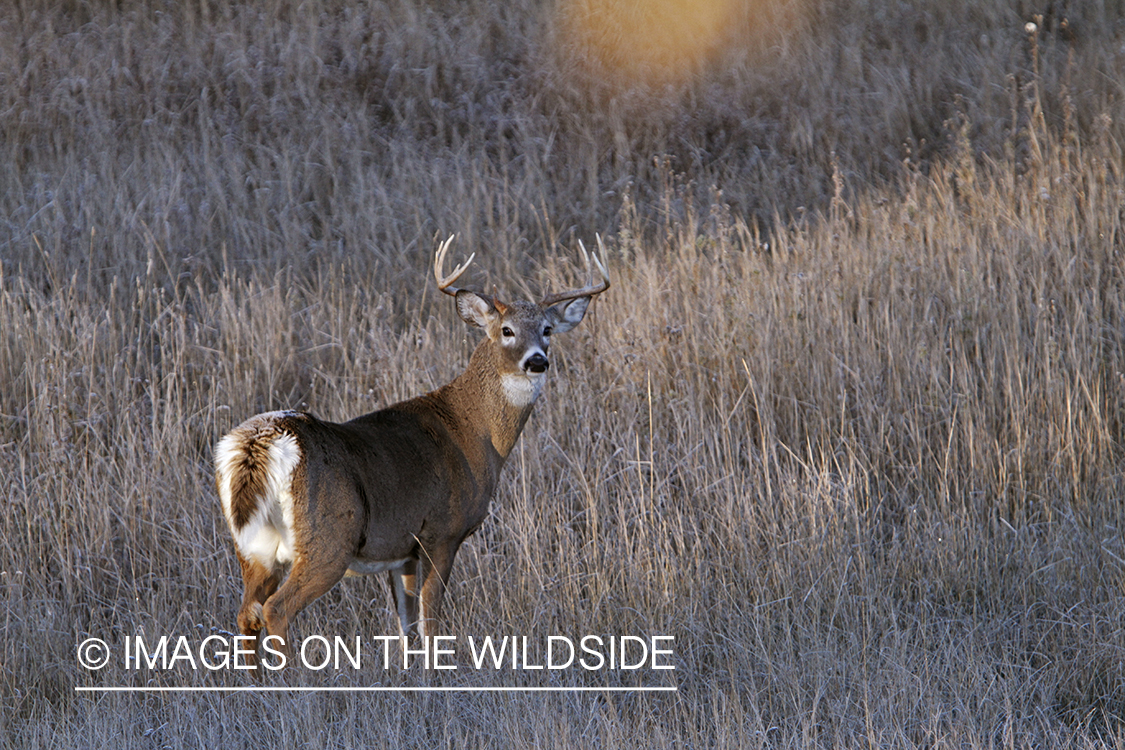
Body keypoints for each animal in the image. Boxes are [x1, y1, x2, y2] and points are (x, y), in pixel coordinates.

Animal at [213, 237, 612, 665]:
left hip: (254, 547)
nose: (537, 360)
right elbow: (431, 621)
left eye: (547, 329)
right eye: (507, 330)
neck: (474, 431)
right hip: (328, 541)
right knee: (276, 609)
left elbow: (406, 626)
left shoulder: (402, 550)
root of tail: (261, 440)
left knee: (247, 613)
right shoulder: (442, 532)